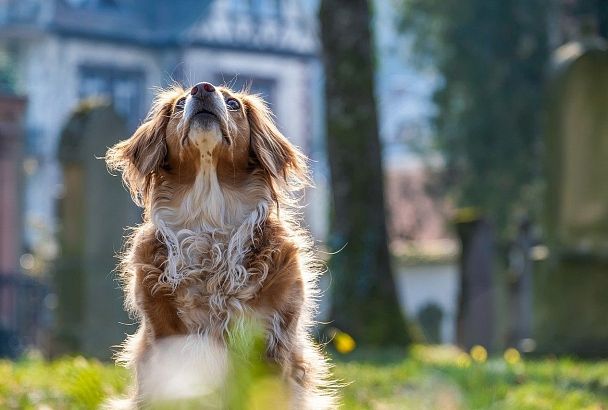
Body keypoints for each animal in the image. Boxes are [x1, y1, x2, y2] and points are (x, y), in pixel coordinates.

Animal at [104, 81, 332, 408]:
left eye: (233, 103)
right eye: (179, 104)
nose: (201, 88)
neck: (208, 218)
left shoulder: (272, 341)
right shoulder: (166, 341)